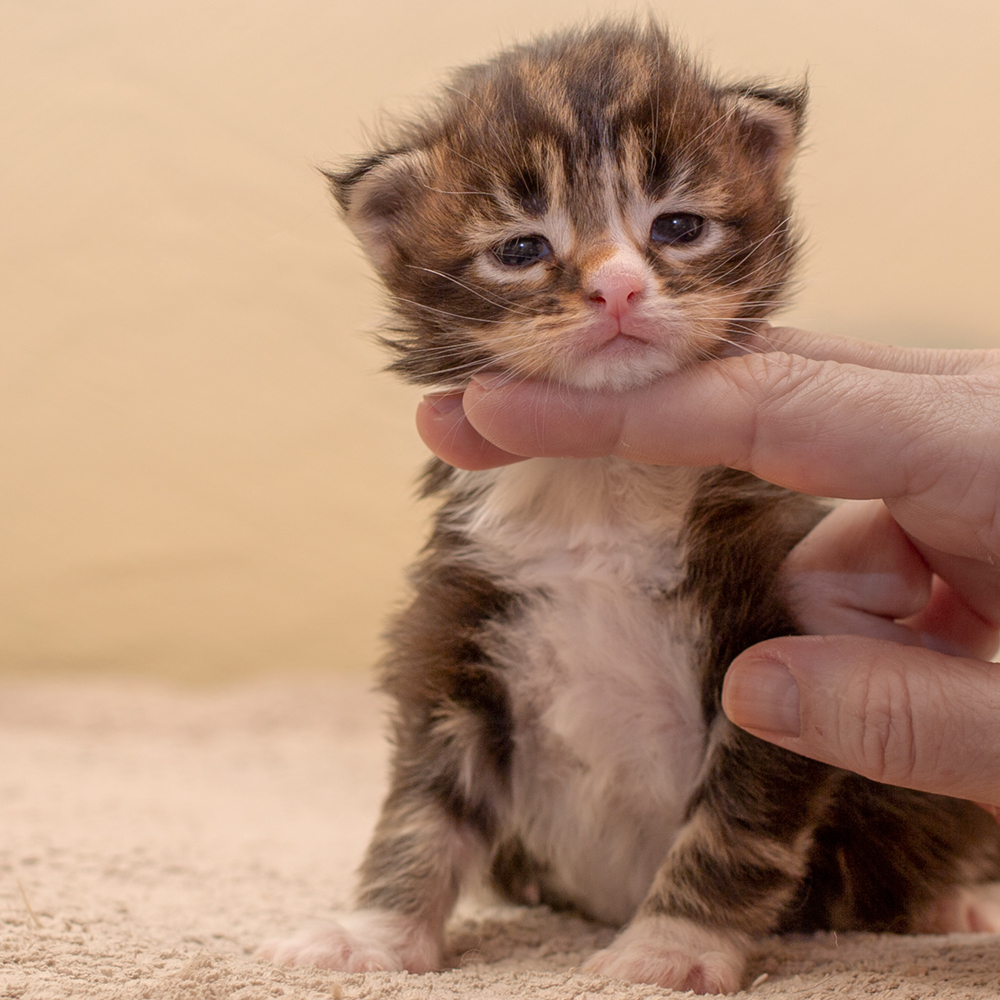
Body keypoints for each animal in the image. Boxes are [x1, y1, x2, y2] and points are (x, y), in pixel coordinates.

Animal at [259, 22, 1000, 993]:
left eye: (677, 227)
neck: (601, 490)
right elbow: (421, 809)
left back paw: (957, 905)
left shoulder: (773, 640)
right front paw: (372, 935)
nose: (616, 286)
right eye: (521, 249)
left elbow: (734, 827)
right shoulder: (456, 632)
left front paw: (670, 948)